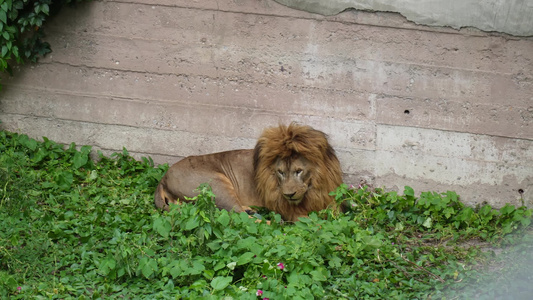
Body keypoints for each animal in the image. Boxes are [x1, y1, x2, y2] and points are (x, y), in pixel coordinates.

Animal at [154, 123, 342, 221]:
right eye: (280, 172)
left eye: (299, 171)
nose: (289, 194)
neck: (313, 187)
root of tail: (163, 178)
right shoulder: (289, 209)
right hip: (218, 185)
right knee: (238, 216)